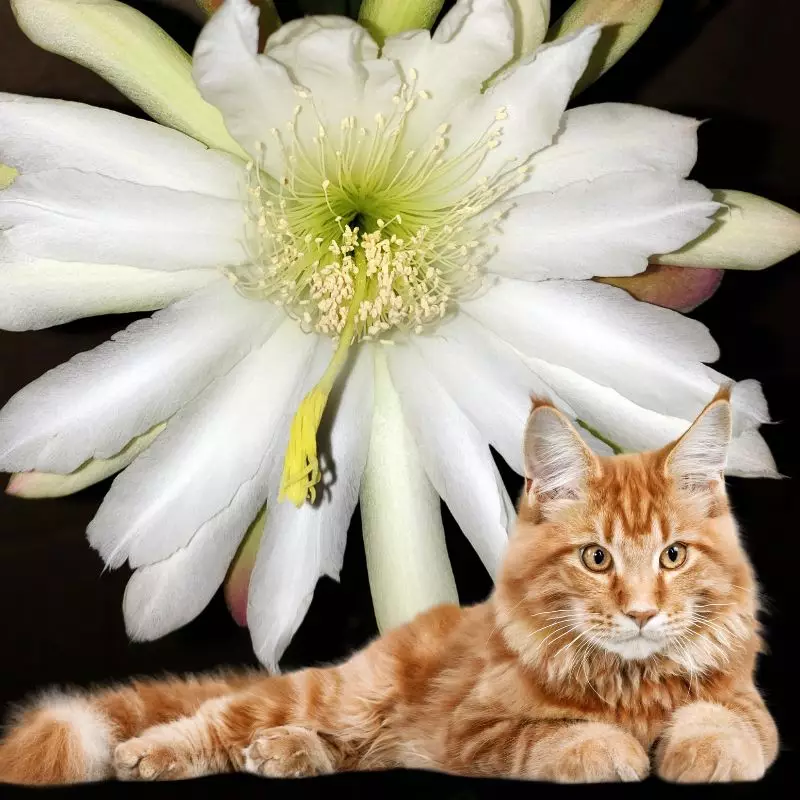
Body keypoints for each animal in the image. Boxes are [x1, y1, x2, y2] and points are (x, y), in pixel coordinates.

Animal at [0, 390, 776, 784]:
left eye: (673, 556)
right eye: (596, 558)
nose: (642, 613)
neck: (629, 684)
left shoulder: (749, 708)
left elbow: (726, 725)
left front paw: (699, 751)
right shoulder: (477, 728)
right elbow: (559, 738)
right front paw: (614, 750)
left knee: (335, 747)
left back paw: (285, 754)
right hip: (342, 693)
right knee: (220, 716)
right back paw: (151, 754)